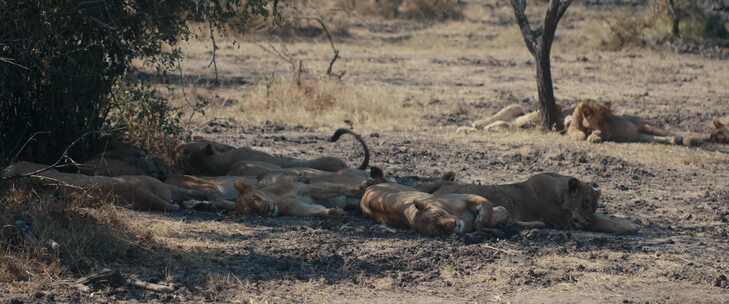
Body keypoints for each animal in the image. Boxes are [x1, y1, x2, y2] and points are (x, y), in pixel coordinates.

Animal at [430, 172, 640, 234]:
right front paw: (630, 227)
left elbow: (604, 217)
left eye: (594, 205)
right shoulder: (565, 221)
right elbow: (602, 221)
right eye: (584, 202)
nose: (586, 220)